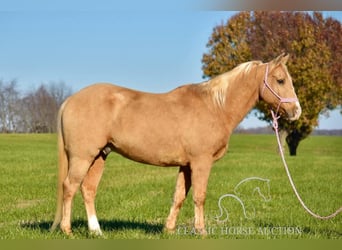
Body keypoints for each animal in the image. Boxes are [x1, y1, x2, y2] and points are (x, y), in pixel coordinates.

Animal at [49, 52, 300, 234]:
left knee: (88, 190)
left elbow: (179, 196)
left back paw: (96, 231)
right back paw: (67, 230)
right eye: (280, 80)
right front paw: (201, 232)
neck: (215, 106)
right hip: (82, 157)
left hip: (99, 156)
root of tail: (70, 100)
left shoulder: (186, 165)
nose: (296, 111)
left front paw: (168, 230)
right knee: (69, 187)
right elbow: (199, 196)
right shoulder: (200, 162)